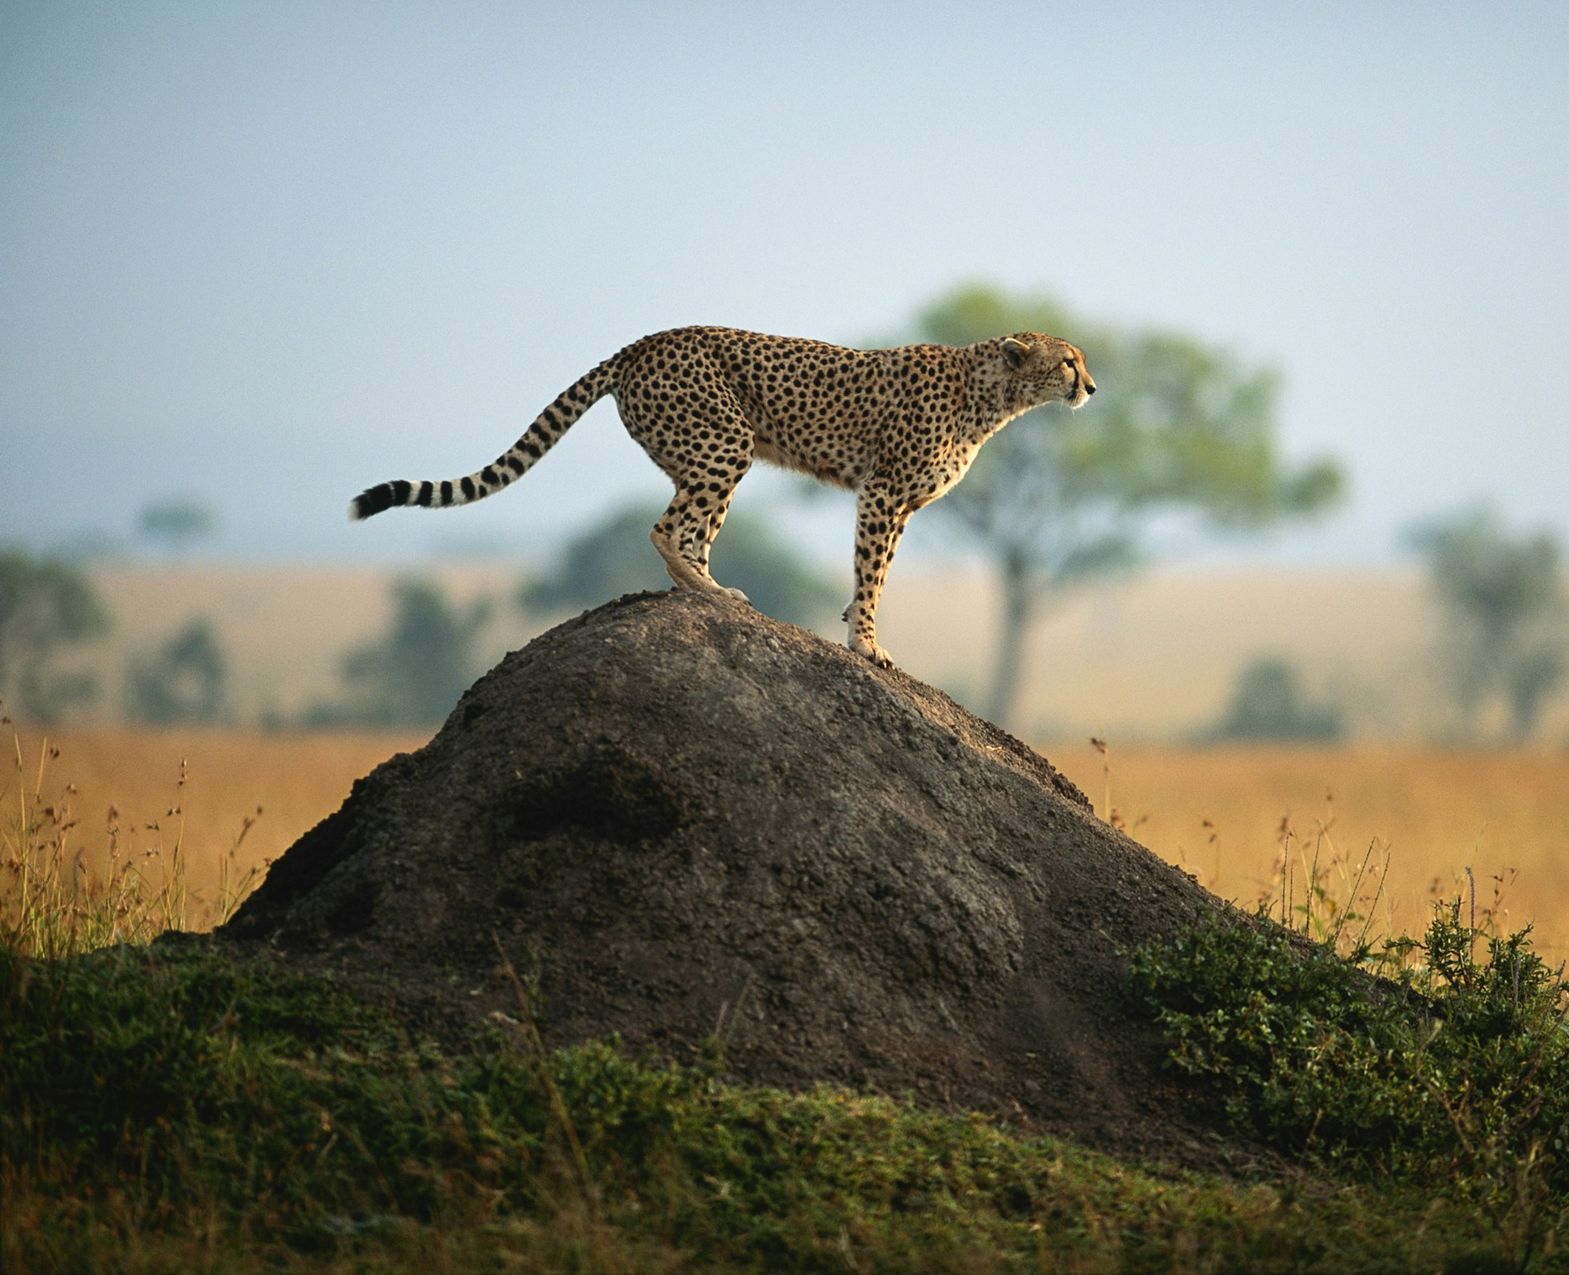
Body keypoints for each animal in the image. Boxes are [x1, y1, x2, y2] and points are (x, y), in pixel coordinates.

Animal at [350, 326, 1095, 668]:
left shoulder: (899, 505)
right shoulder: (883, 494)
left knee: (691, 530)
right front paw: (866, 645)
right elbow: (873, 574)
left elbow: (872, 573)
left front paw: (854, 626)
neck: (990, 396)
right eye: (1068, 360)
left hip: (712, 455)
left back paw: (707, 590)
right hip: (724, 444)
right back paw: (708, 593)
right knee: (666, 528)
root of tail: (644, 340)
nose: (1091, 387)